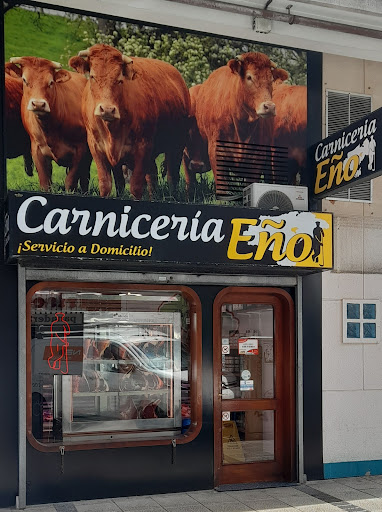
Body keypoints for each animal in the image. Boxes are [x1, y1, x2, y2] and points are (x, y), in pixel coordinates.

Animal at [5, 56, 92, 192]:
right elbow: (45, 182)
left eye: (51, 82)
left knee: (85, 177)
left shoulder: (81, 149)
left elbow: (70, 181)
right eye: (24, 80)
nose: (38, 104)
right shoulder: (37, 150)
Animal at [69, 45, 191, 199]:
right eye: (92, 77)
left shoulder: (143, 146)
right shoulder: (96, 146)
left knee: (172, 176)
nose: (107, 110)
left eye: (120, 79)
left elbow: (136, 186)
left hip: (177, 144)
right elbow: (107, 184)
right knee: (151, 175)